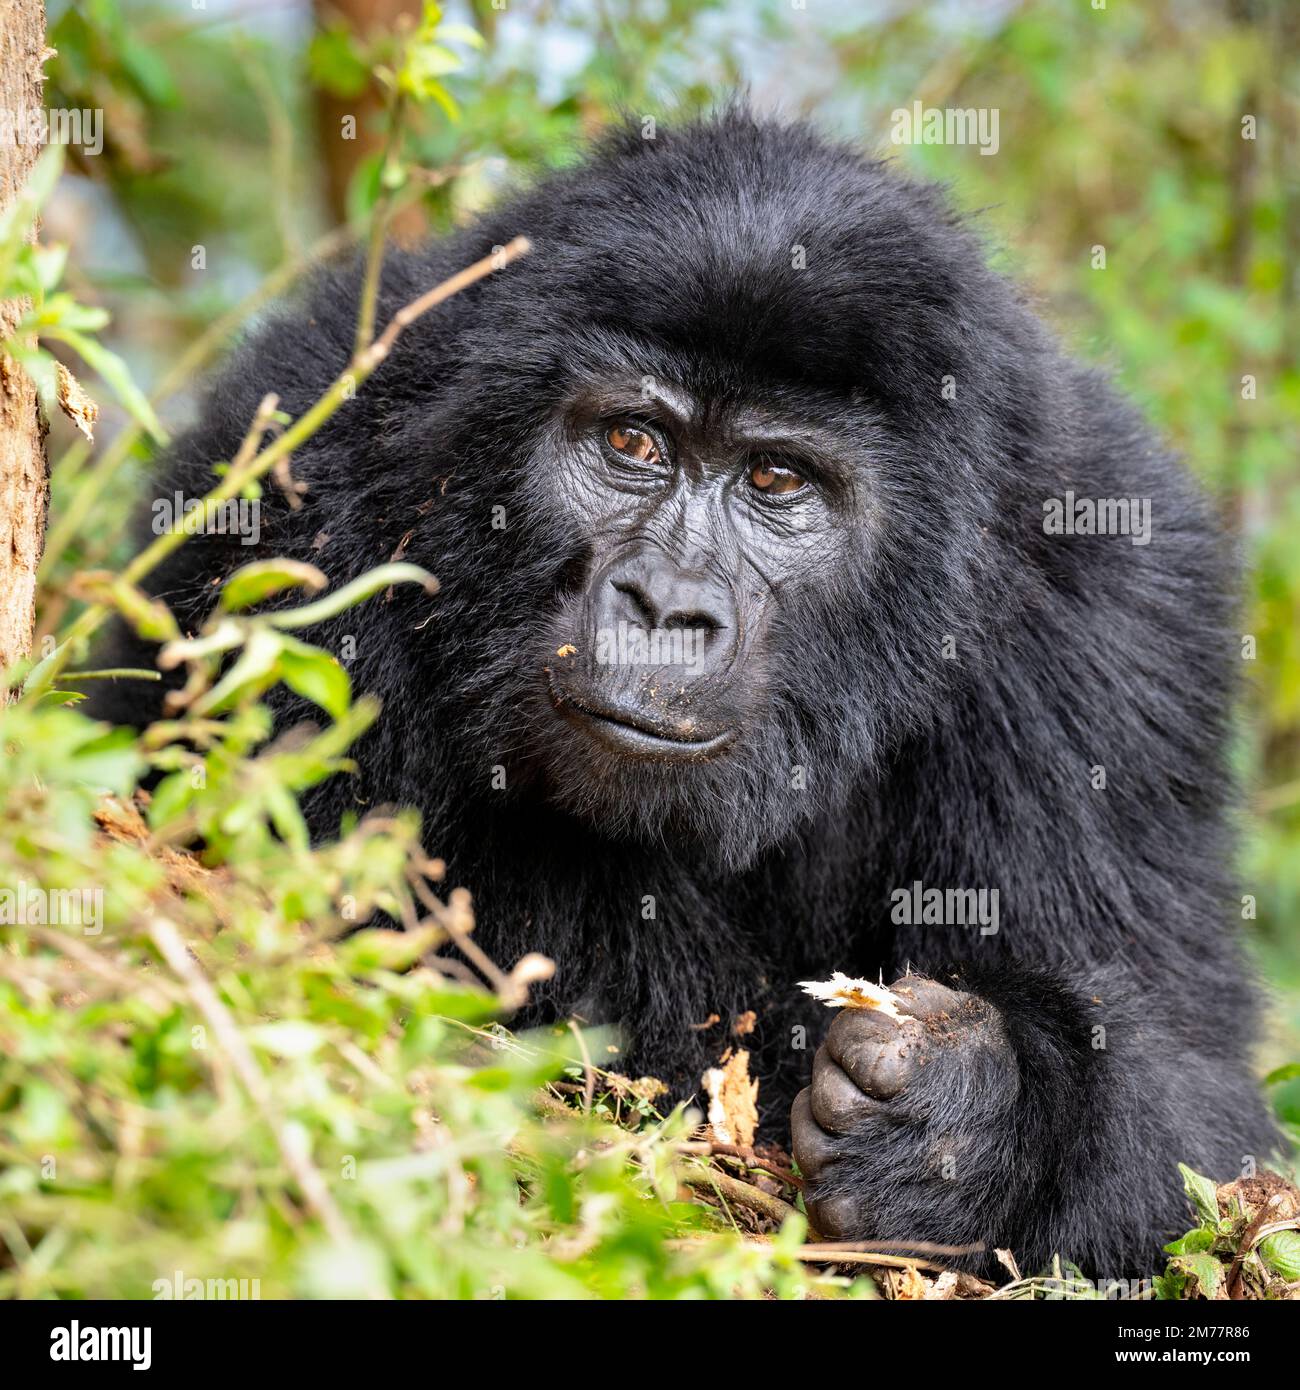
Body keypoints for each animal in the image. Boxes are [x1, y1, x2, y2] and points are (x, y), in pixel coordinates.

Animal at [99, 113, 1273, 1273]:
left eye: (775, 480)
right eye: (633, 442)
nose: (665, 606)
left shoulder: (1118, 603)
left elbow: (1195, 1097)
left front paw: (973, 1121)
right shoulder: (299, 481)